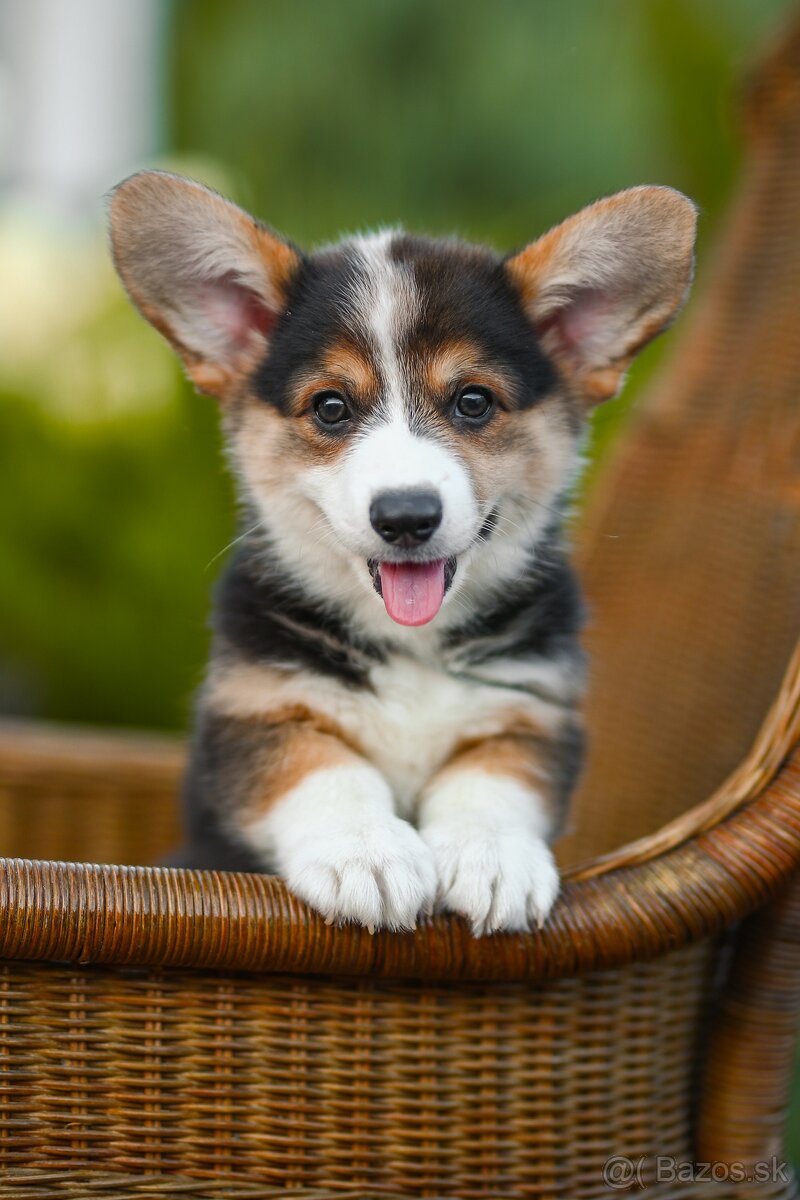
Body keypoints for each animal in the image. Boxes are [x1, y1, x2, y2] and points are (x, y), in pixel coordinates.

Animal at [109, 171, 695, 936]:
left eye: (474, 402)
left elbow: (491, 780)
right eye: (331, 408)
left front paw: (492, 859)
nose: (407, 517)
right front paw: (367, 856)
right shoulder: (255, 711)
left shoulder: (530, 713)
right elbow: (324, 766)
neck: (410, 644)